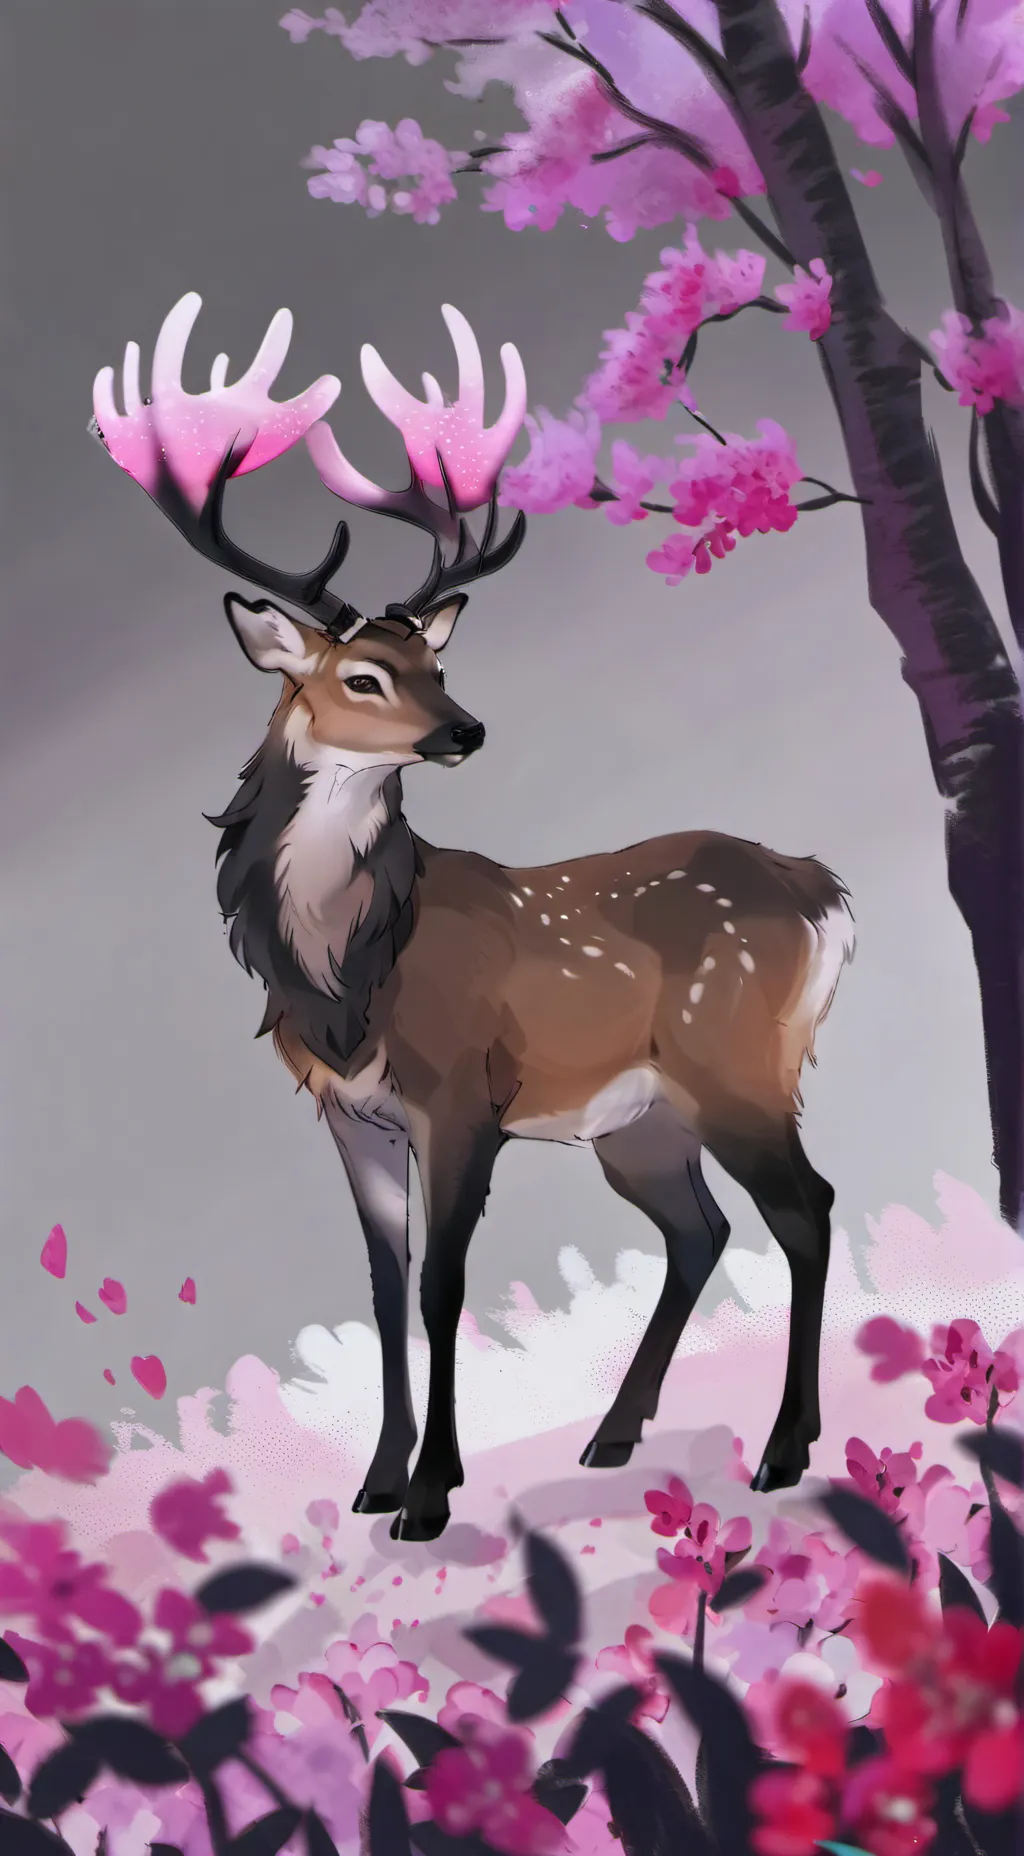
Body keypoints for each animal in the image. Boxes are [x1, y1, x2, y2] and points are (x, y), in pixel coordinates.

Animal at [90, 292, 854, 1542]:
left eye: (433, 661)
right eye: (360, 673)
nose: (467, 729)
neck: (348, 974)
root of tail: (820, 888)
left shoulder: (458, 1090)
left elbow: (443, 1281)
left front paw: (430, 1491)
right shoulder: (345, 1109)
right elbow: (380, 1279)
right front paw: (375, 1476)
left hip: (738, 1057)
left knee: (808, 1205)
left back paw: (784, 1448)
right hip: (641, 1117)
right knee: (699, 1227)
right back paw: (613, 1432)